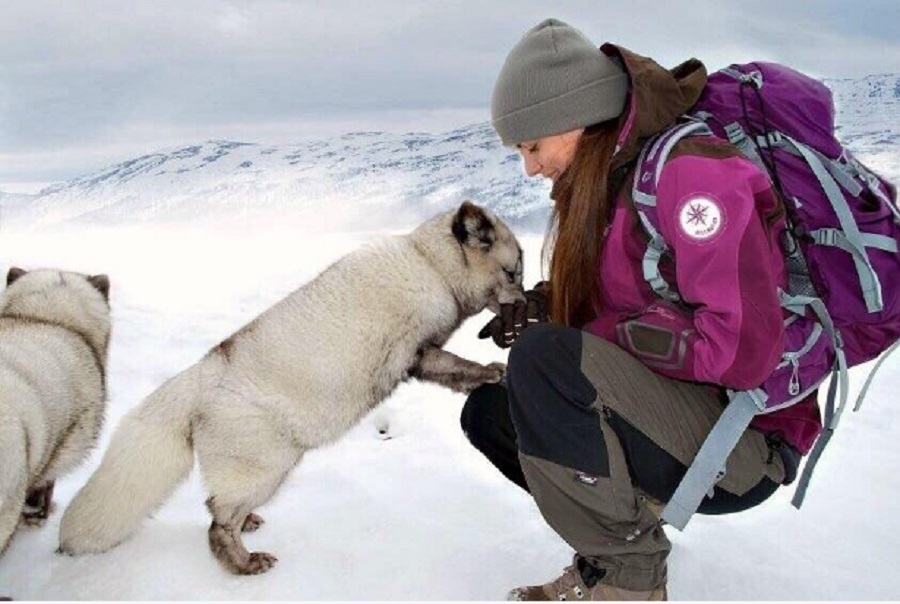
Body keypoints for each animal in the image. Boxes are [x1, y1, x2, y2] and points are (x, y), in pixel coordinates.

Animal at [59, 202, 524, 576]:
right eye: (512, 273)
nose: (525, 301)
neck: (430, 265)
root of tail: (199, 374)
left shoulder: (418, 357)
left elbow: (452, 375)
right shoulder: (415, 350)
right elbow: (457, 366)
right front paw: (491, 372)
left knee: (216, 505)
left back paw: (247, 526)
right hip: (268, 467)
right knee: (217, 520)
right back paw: (243, 563)